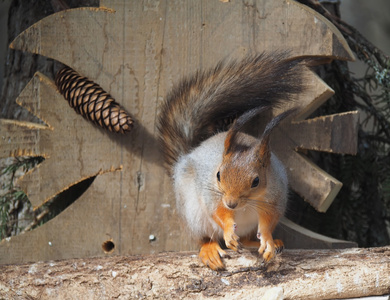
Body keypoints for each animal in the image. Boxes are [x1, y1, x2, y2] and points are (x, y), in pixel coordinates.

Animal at [157, 52, 306, 270]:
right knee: (203, 238)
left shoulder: (275, 197)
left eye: (256, 181)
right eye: (218, 175)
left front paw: (268, 241)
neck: (245, 205)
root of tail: (185, 157)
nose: (231, 203)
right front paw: (228, 230)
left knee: (245, 238)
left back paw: (264, 242)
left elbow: (268, 221)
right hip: (192, 214)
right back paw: (209, 250)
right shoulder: (213, 196)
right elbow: (218, 213)